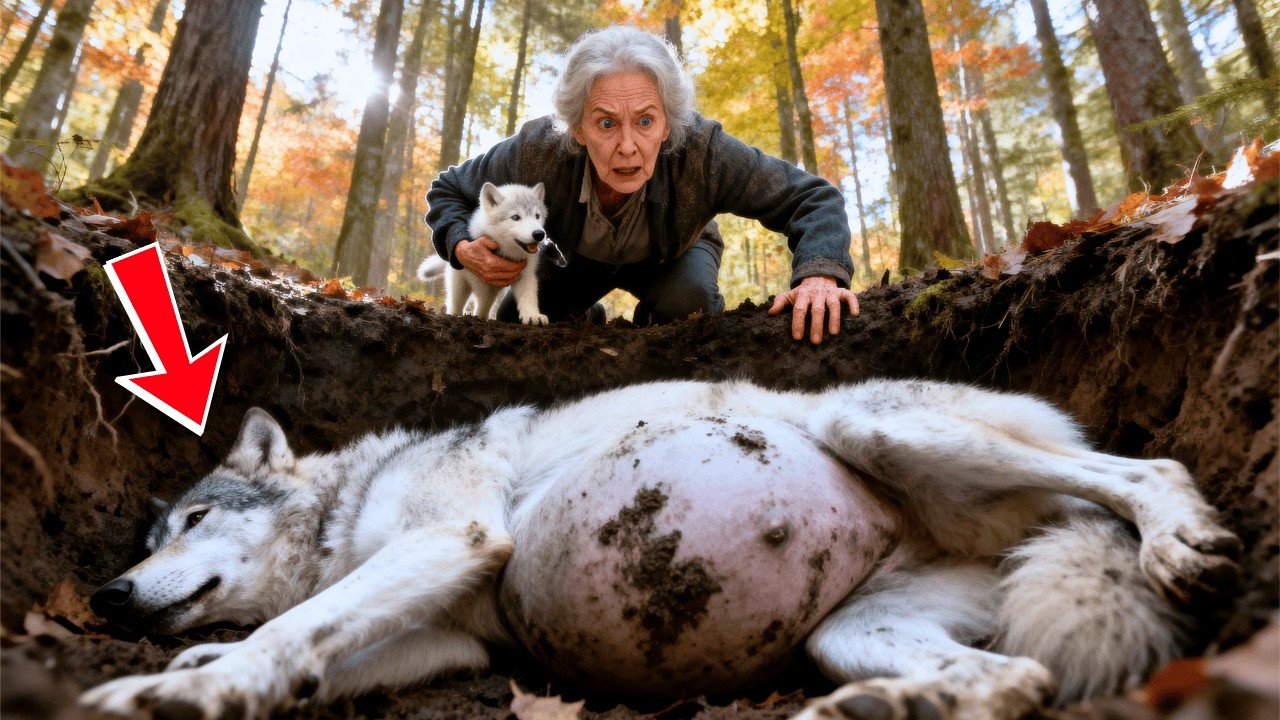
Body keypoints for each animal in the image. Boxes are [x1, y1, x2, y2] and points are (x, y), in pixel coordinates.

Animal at [81, 379, 1239, 720]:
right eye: (152, 537)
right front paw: (207, 666)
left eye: (192, 523)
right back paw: (872, 712)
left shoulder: (448, 538)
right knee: (1018, 680)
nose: (108, 596)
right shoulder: (453, 641)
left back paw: (1181, 540)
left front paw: (175, 690)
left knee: (1143, 471)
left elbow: (292, 626)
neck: (344, 505)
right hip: (851, 635)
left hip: (875, 429)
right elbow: (314, 643)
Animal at [417, 182, 550, 325]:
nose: (539, 234)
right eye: (515, 217)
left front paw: (533, 316)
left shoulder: (525, 276)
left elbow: (528, 297)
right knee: (455, 303)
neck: (507, 253)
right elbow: (482, 305)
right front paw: (478, 317)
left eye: (537, 216)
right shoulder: (483, 282)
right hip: (458, 283)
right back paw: (456, 315)